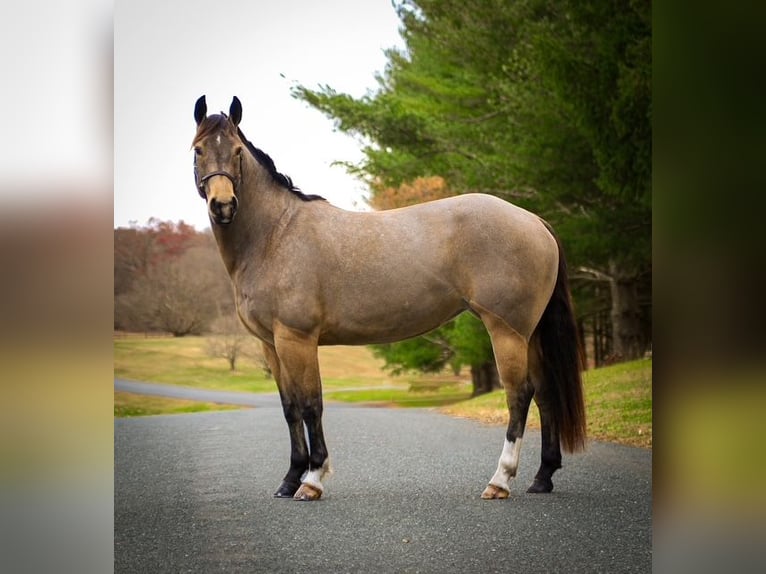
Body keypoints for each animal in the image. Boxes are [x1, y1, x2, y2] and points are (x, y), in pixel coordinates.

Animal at [192, 97, 588, 502]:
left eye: (237, 152)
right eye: (199, 150)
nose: (223, 205)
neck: (275, 236)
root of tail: (534, 220)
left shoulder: (296, 339)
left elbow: (311, 405)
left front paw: (312, 480)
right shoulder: (271, 344)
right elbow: (290, 409)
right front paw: (289, 480)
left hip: (507, 331)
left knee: (519, 395)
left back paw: (500, 480)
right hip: (530, 333)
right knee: (546, 393)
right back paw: (542, 478)